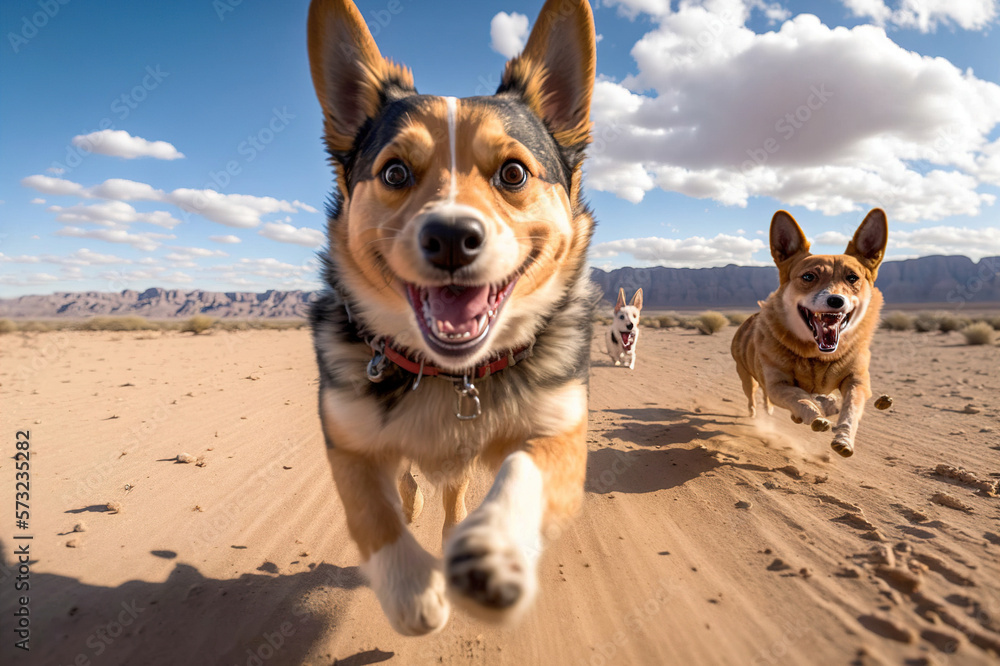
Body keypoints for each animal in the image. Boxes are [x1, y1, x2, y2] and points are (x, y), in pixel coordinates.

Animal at [308, 0, 596, 632]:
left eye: (513, 173)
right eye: (394, 172)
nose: (450, 237)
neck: (450, 375)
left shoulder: (562, 432)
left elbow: (520, 472)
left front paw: (493, 552)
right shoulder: (346, 439)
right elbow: (371, 512)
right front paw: (413, 591)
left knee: (454, 489)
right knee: (409, 482)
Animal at [732, 209, 888, 456]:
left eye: (852, 278)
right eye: (808, 277)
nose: (836, 300)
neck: (818, 358)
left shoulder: (857, 380)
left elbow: (851, 409)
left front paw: (843, 438)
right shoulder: (778, 385)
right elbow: (800, 398)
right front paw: (815, 415)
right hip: (747, 376)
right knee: (754, 398)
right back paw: (759, 414)